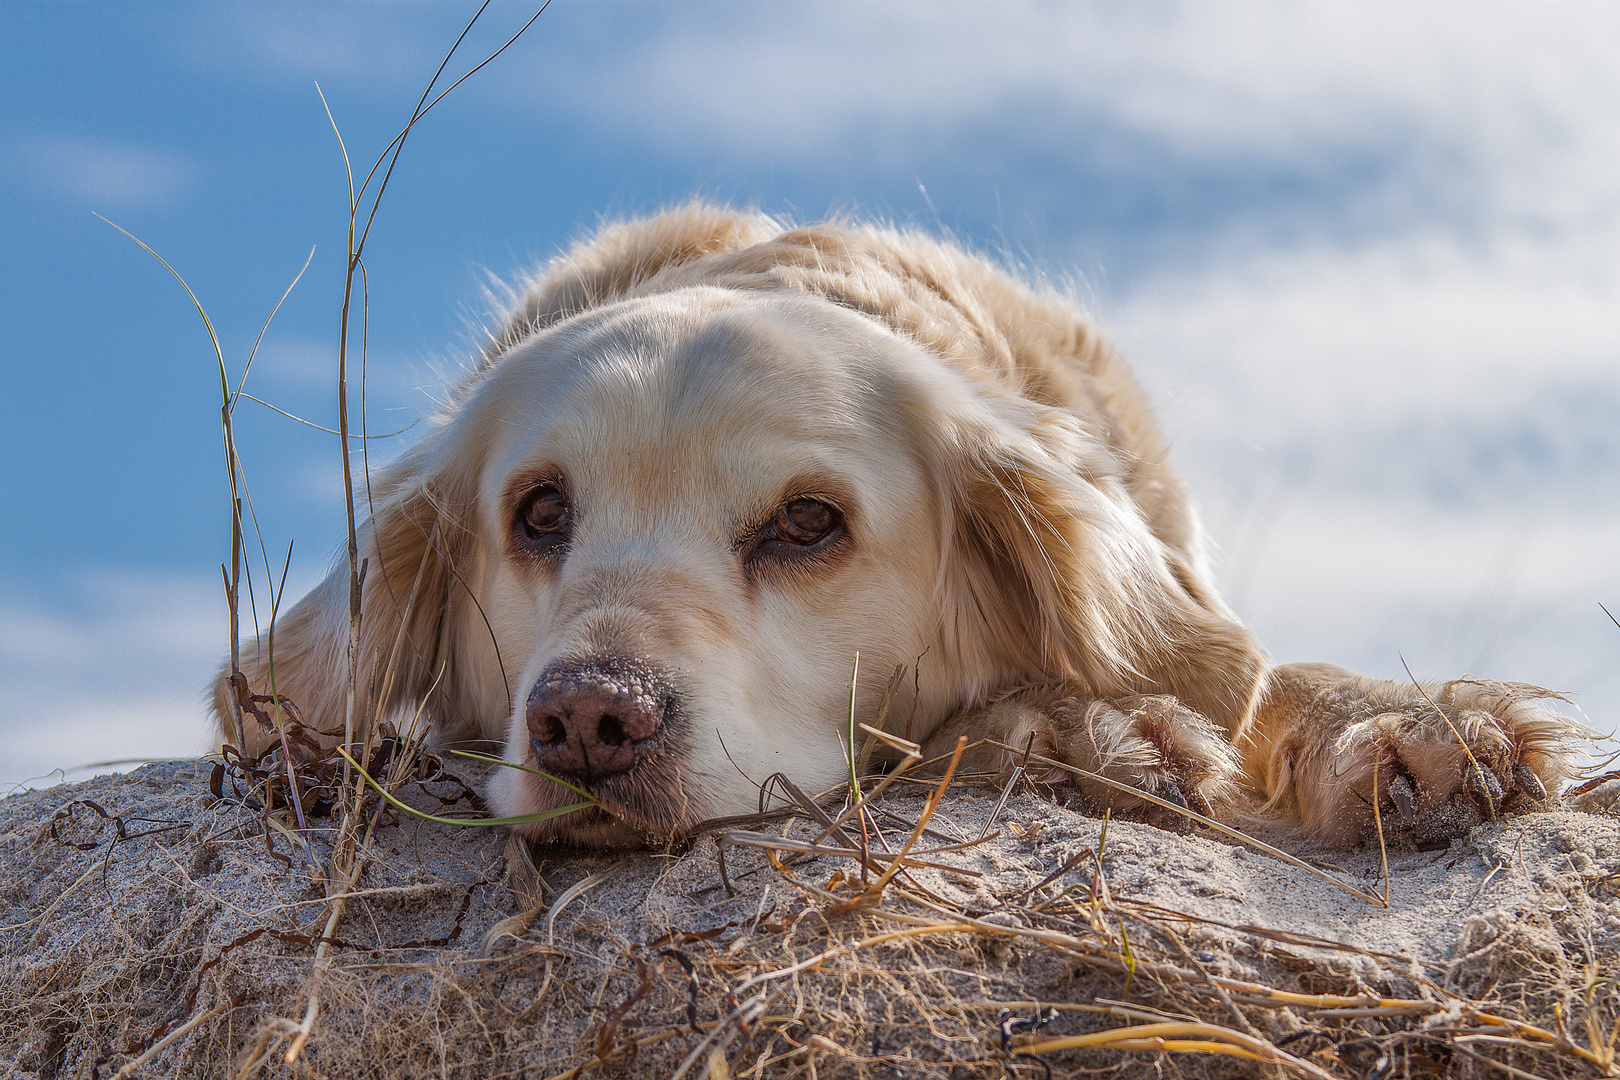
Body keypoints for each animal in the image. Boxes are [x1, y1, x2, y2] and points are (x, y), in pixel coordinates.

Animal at [212, 204, 1581, 854]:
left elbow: (1265, 670)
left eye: (807, 522)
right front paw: (1087, 726)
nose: (590, 721)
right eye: (537, 513)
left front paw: (1410, 721)